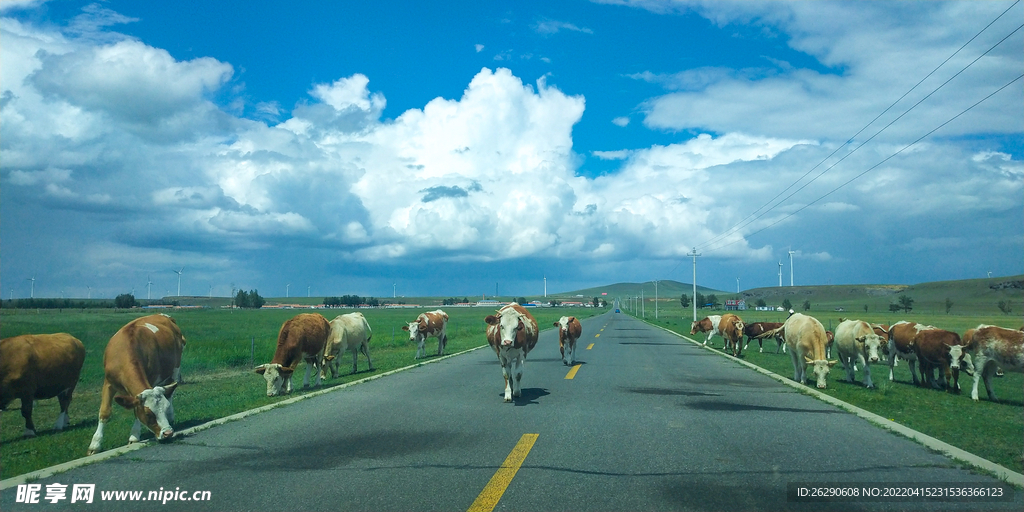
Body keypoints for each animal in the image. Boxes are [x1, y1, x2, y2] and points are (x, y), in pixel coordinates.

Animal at [87, 315, 185, 456]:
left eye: (164, 409)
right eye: (148, 414)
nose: (168, 433)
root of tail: (163, 316)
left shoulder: (150, 380)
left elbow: (136, 411)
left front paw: (134, 436)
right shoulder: (108, 382)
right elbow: (104, 412)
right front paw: (95, 444)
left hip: (175, 369)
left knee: (170, 394)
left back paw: (171, 416)